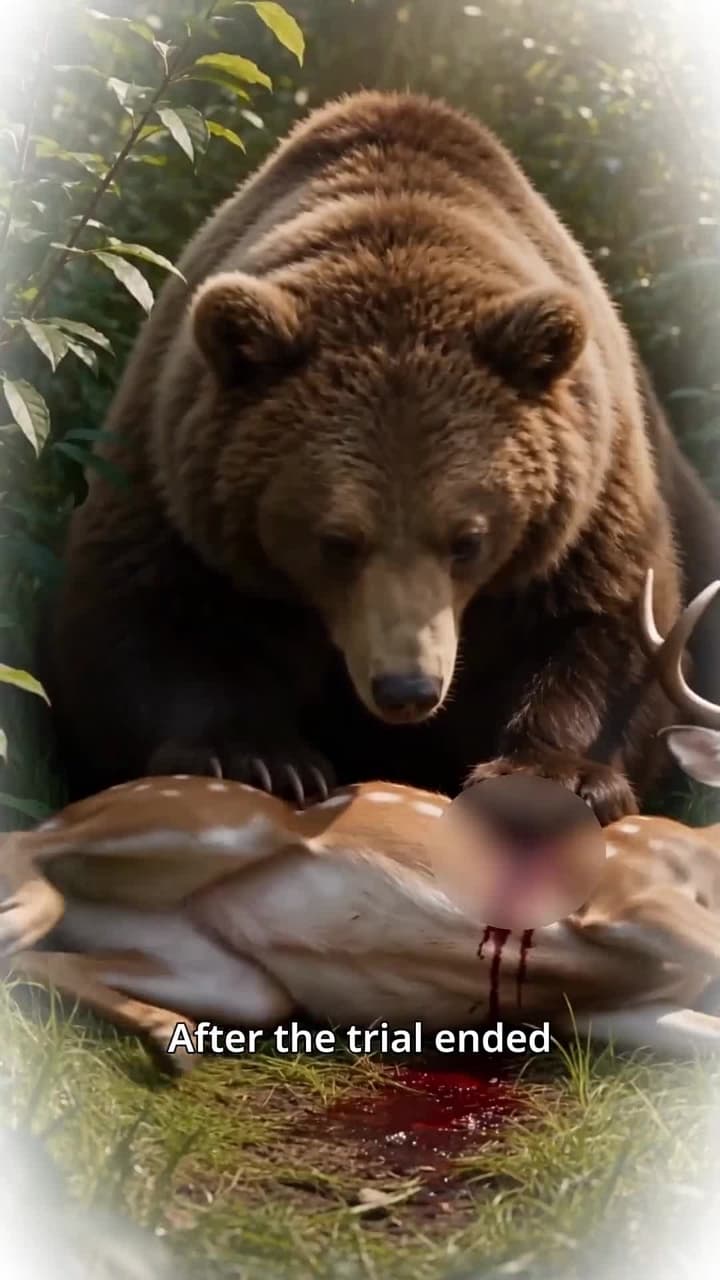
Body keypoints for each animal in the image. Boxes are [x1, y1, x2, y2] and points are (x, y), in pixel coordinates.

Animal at [41, 91, 720, 825]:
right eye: (336, 540)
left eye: (467, 539)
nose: (407, 688)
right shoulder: (174, 486)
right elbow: (138, 622)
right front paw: (259, 758)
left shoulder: (590, 505)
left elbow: (604, 630)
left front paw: (554, 774)